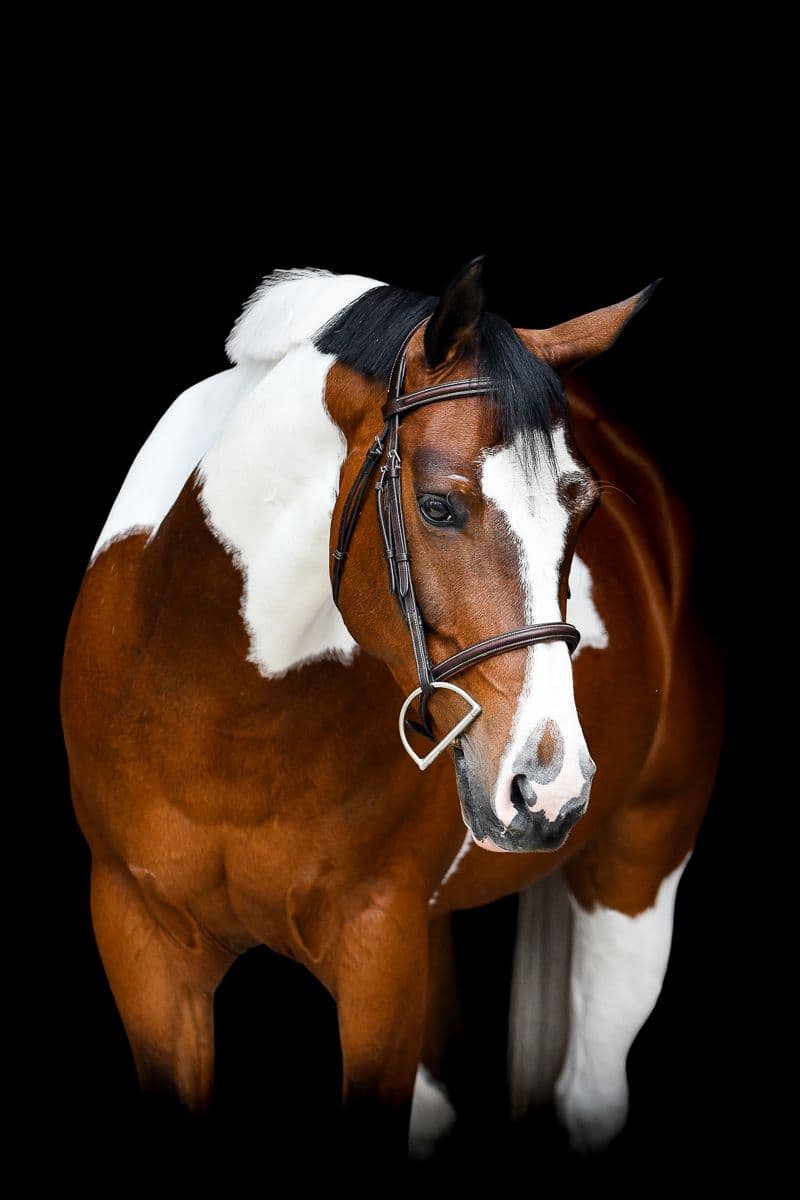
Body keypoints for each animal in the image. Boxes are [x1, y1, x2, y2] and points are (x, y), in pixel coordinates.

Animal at [60, 259, 723, 1159]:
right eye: (439, 506)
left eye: (581, 510)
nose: (548, 787)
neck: (217, 717)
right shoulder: (145, 948)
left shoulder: (378, 953)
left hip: (636, 875)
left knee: (591, 1090)